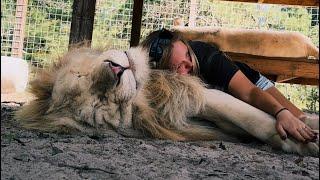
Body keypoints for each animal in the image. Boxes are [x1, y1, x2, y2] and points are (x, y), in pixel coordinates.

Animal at [15, 47, 320, 157]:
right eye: (104, 100)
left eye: (81, 76)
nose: (116, 69)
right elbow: (257, 123)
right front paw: (304, 143)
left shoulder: (195, 92)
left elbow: (253, 116)